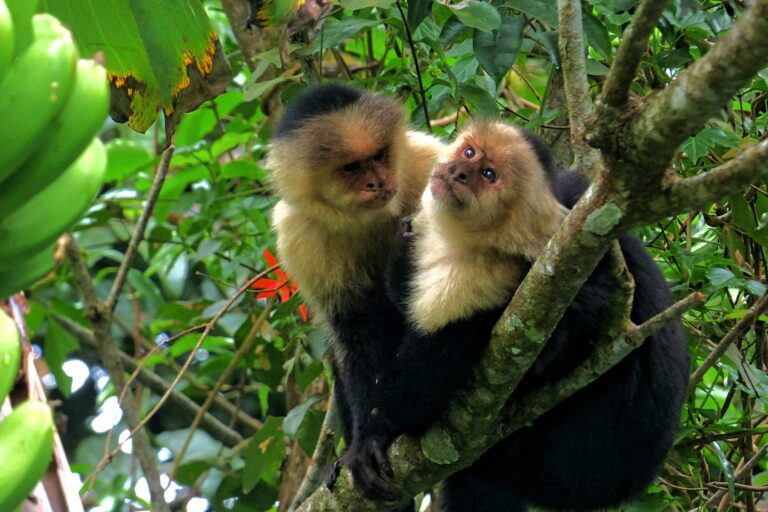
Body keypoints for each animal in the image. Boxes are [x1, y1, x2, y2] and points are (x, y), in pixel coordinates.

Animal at [268, 83, 444, 500]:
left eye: (378, 156)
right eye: (351, 168)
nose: (377, 182)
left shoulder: (427, 164)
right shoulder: (298, 236)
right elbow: (356, 333)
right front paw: (365, 442)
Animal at [352, 121, 688, 512]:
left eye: (488, 175)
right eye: (470, 152)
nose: (458, 171)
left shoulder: (485, 277)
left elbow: (411, 398)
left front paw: (374, 434)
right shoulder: (575, 194)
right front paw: (405, 244)